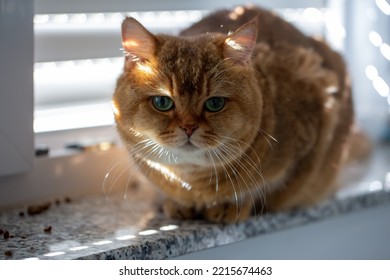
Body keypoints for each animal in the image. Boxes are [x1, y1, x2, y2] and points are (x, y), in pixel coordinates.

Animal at [112, 4, 356, 223]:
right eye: (162, 102)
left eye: (215, 103)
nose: (189, 127)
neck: (191, 182)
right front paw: (173, 203)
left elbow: (264, 188)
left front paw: (231, 206)